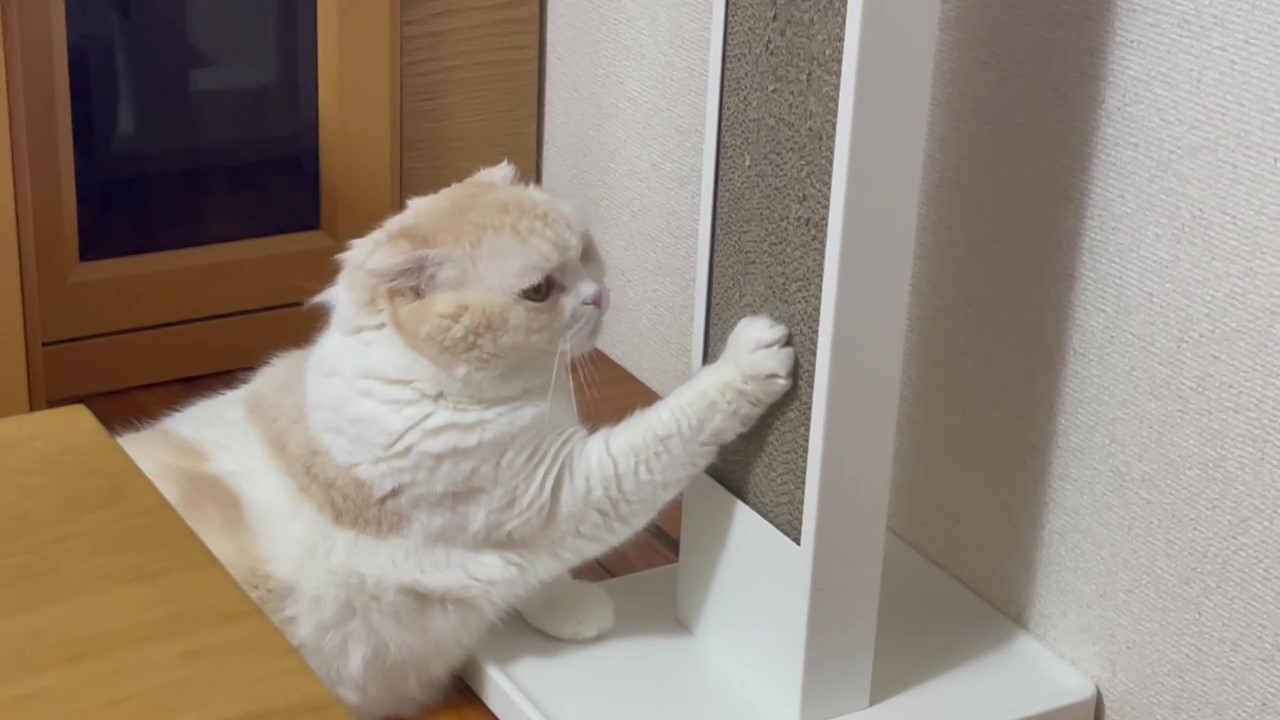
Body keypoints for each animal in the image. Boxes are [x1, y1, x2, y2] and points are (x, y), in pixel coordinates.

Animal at [117, 161, 794, 719]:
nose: (599, 295)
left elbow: (540, 580)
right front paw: (748, 360)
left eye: (584, 251)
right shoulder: (570, 490)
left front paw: (568, 610)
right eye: (539, 291)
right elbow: (672, 429)